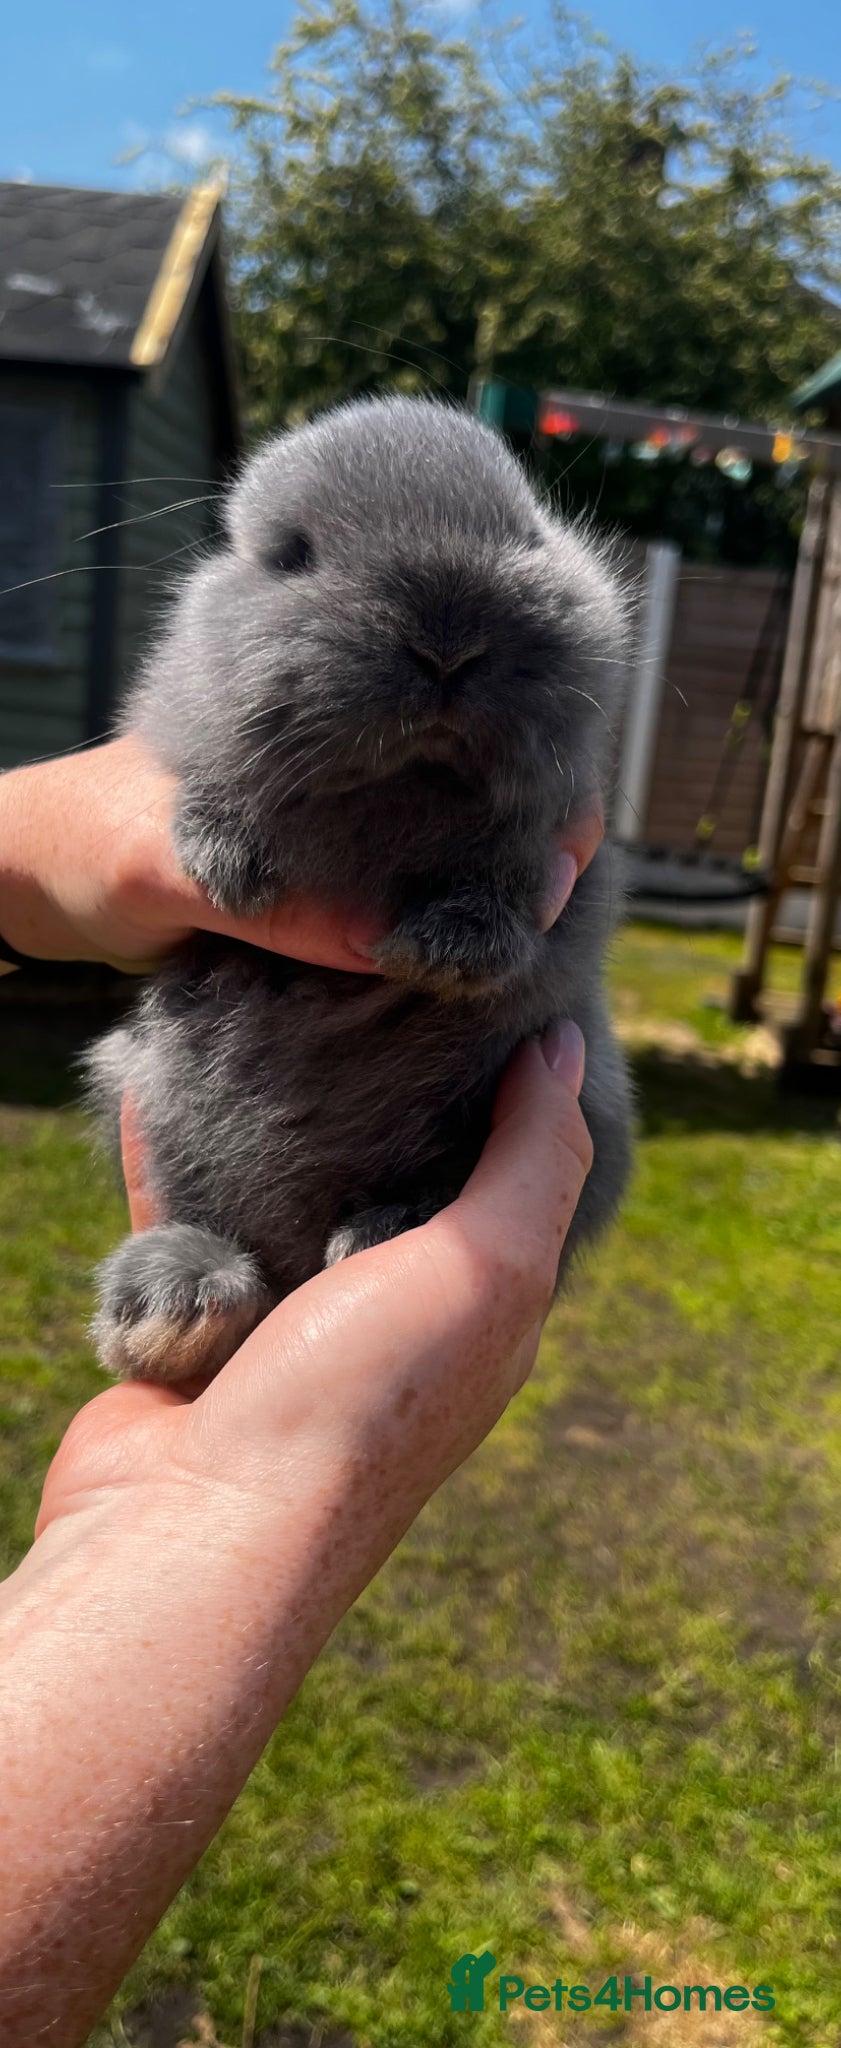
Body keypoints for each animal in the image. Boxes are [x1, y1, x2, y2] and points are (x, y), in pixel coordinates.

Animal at [86, 394, 633, 1383]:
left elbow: (517, 889)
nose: (447, 642)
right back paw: (173, 1306)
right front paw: (228, 865)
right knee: (211, 1232)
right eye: (290, 554)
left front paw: (443, 953)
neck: (399, 792)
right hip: (136, 1089)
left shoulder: (563, 847)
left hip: (588, 1109)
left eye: (525, 529)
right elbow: (216, 786)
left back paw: (374, 1234)